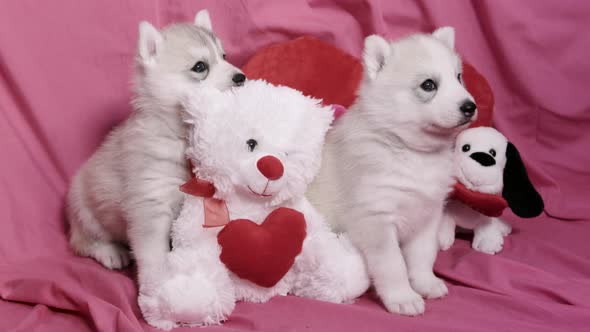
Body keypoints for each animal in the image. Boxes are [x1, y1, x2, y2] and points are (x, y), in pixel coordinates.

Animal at [66, 10, 245, 286]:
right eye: (200, 67)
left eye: (224, 56)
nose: (241, 77)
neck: (182, 136)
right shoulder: (150, 203)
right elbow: (153, 255)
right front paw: (156, 284)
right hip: (86, 213)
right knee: (84, 242)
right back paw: (110, 252)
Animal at [308, 27, 478, 316]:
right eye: (429, 85)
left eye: (458, 77)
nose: (470, 106)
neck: (414, 153)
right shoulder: (376, 218)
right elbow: (393, 264)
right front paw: (403, 297)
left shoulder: (427, 214)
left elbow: (423, 256)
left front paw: (426, 283)